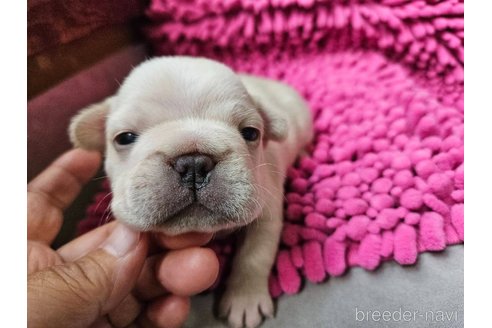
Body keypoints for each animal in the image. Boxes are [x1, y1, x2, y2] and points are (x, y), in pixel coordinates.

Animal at [67, 57, 314, 328]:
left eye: (250, 133)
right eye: (124, 138)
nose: (194, 163)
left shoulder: (266, 210)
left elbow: (254, 256)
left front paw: (245, 300)